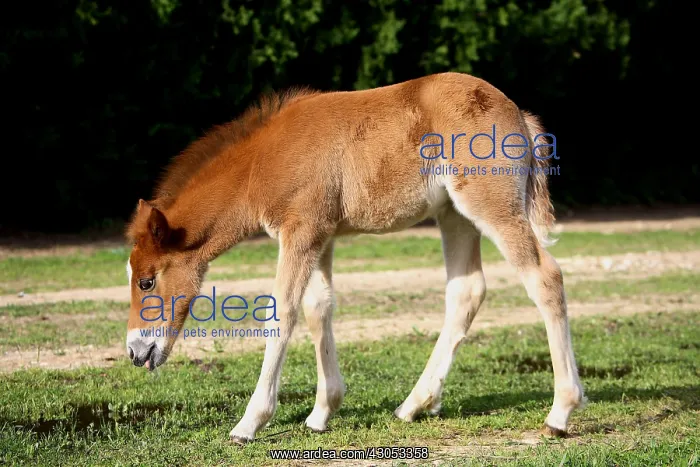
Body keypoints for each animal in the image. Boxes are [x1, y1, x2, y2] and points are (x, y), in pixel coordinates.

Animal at [124, 71, 585, 444]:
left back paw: (560, 413)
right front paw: (321, 413)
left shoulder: (301, 231)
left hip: (491, 207)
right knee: (466, 292)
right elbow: (318, 308)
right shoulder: (321, 235)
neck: (261, 161)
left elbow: (282, 314)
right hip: (454, 216)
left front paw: (249, 424)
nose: (135, 352)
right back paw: (413, 405)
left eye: (147, 281)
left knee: (545, 278)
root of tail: (518, 115)